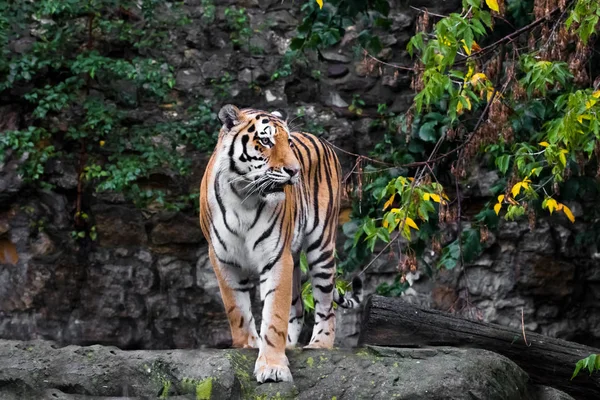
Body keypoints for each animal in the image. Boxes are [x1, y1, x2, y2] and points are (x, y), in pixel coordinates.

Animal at [199, 104, 364, 382]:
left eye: (288, 142)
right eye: (265, 141)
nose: (294, 171)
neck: (243, 196)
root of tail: (322, 140)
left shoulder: (276, 258)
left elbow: (274, 314)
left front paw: (272, 367)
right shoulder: (223, 258)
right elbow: (237, 310)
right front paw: (248, 346)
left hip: (321, 247)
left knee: (325, 305)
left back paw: (319, 344)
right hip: (294, 259)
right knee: (297, 308)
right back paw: (291, 344)